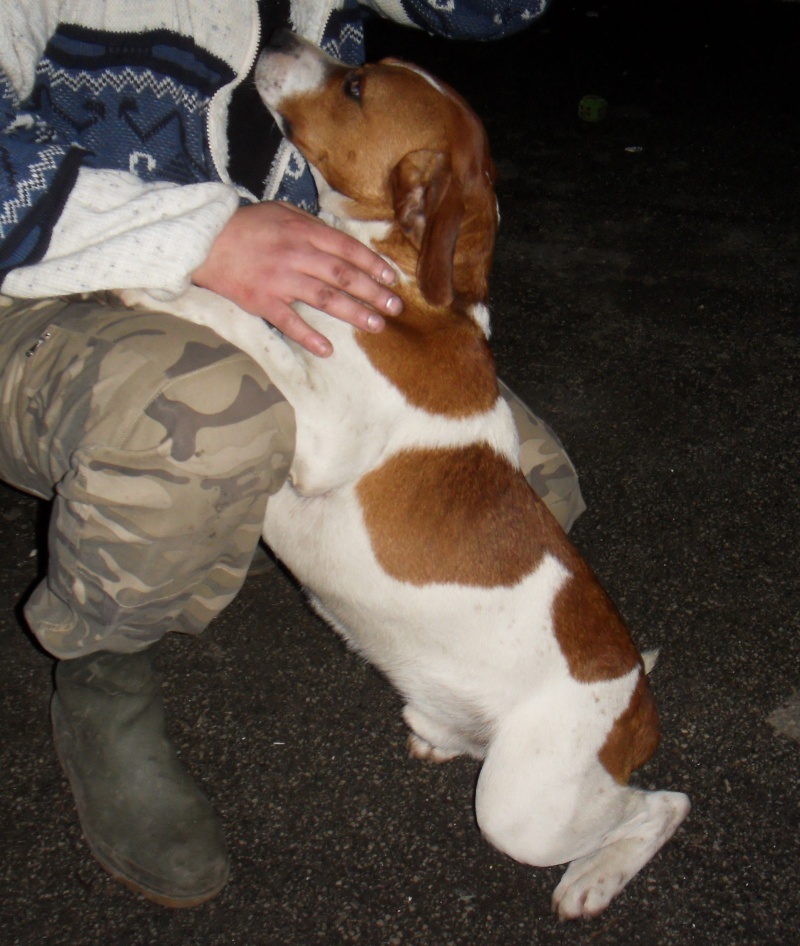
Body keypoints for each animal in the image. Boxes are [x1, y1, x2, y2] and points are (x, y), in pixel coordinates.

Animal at [119, 31, 688, 920]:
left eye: (355, 86)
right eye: (366, 64)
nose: (282, 35)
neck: (403, 279)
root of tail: (638, 703)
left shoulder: (319, 434)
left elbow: (250, 320)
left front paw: (165, 283)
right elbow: (265, 318)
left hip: (519, 809)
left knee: (662, 804)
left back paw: (596, 878)